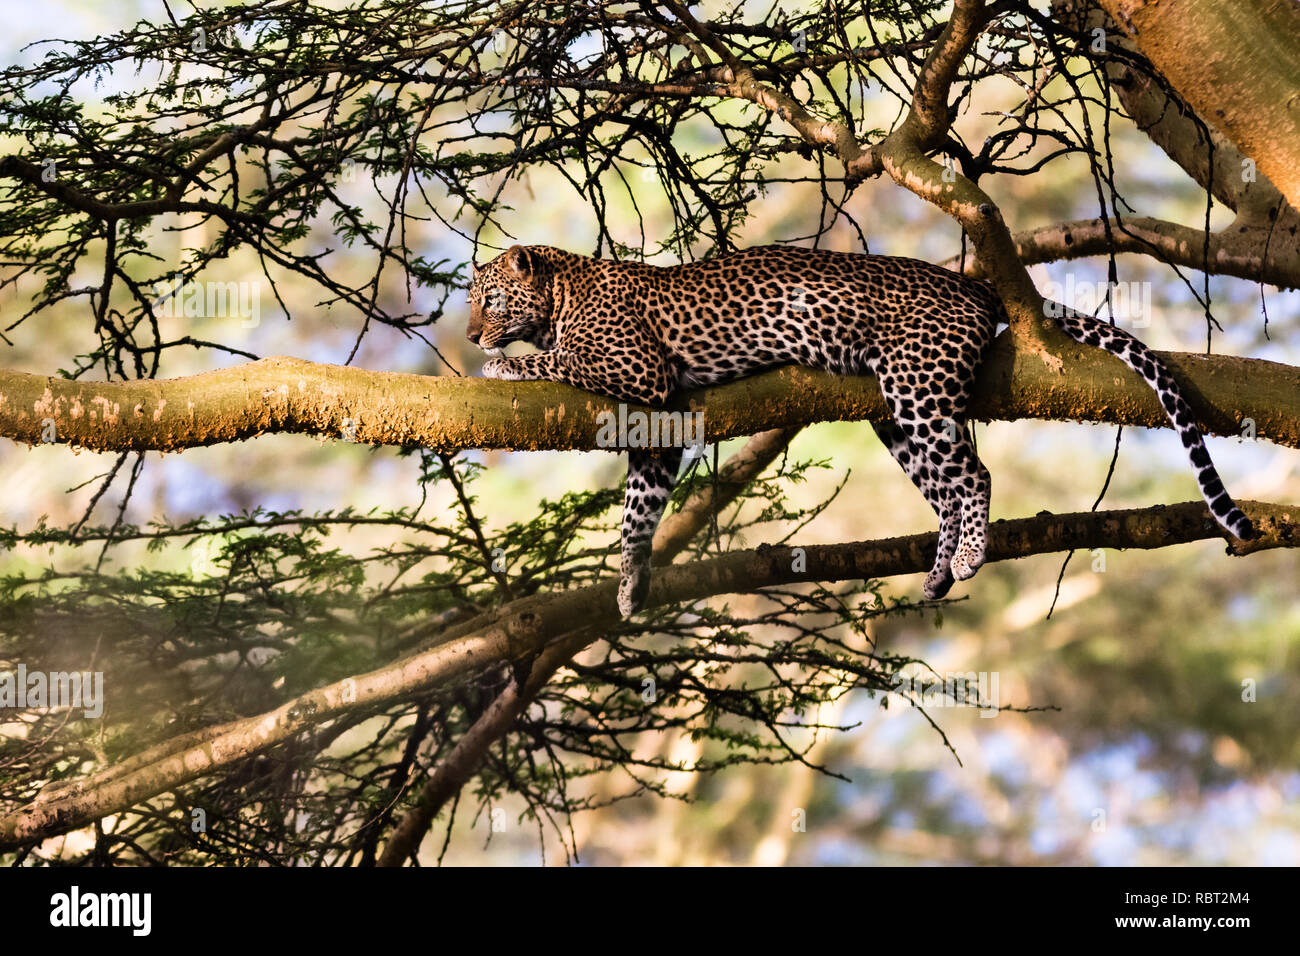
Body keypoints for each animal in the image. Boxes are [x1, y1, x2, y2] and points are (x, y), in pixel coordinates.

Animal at [465, 247, 1248, 616]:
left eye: (488, 300)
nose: (469, 335)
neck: (562, 290)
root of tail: (975, 283)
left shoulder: (639, 371)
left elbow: (560, 361)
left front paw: (505, 365)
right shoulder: (657, 424)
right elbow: (637, 512)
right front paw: (631, 585)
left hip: (917, 387)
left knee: (974, 475)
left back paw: (969, 558)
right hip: (895, 415)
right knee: (944, 489)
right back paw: (939, 571)